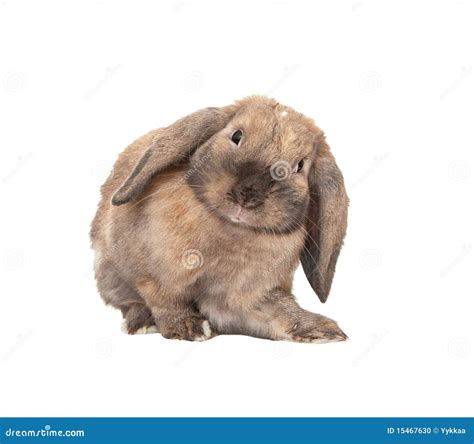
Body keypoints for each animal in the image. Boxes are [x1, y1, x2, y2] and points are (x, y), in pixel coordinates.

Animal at [90, 94, 348, 344]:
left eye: (300, 166)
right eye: (236, 136)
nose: (247, 195)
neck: (230, 230)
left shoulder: (248, 297)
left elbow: (281, 311)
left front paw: (323, 331)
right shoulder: (151, 276)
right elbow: (163, 299)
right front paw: (189, 328)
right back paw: (143, 322)